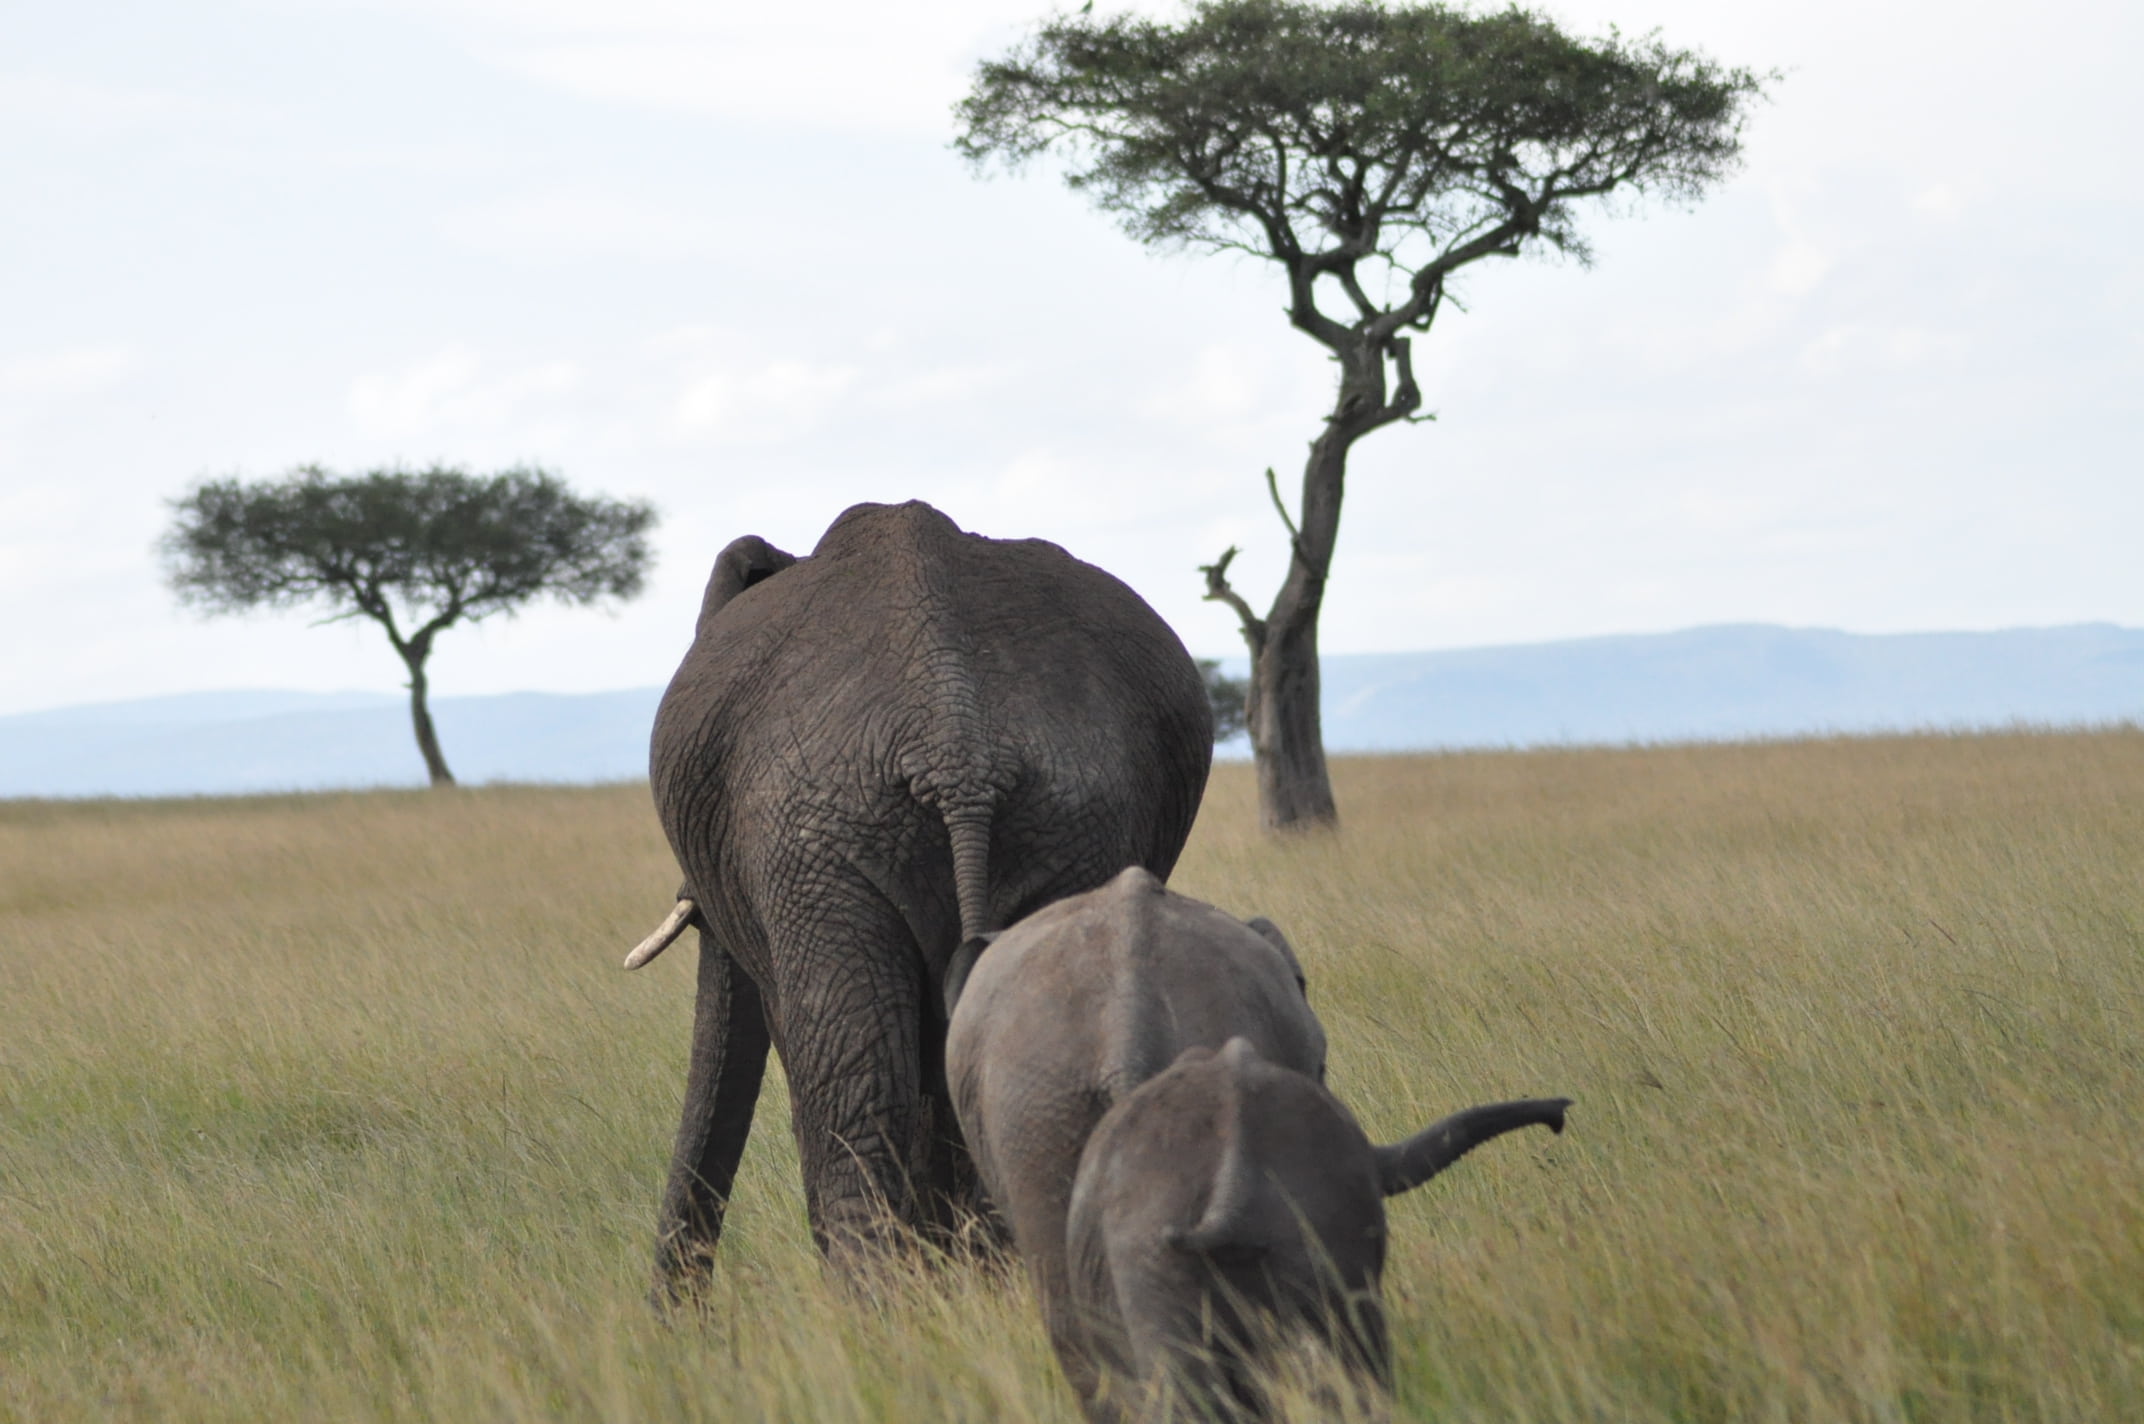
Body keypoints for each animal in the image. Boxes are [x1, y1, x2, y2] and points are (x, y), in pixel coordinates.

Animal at [622, 500, 1213, 1296]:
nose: (675, 1315)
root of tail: (956, 743)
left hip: (821, 844)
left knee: (856, 1102)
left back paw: (880, 1311)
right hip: (1064, 829)